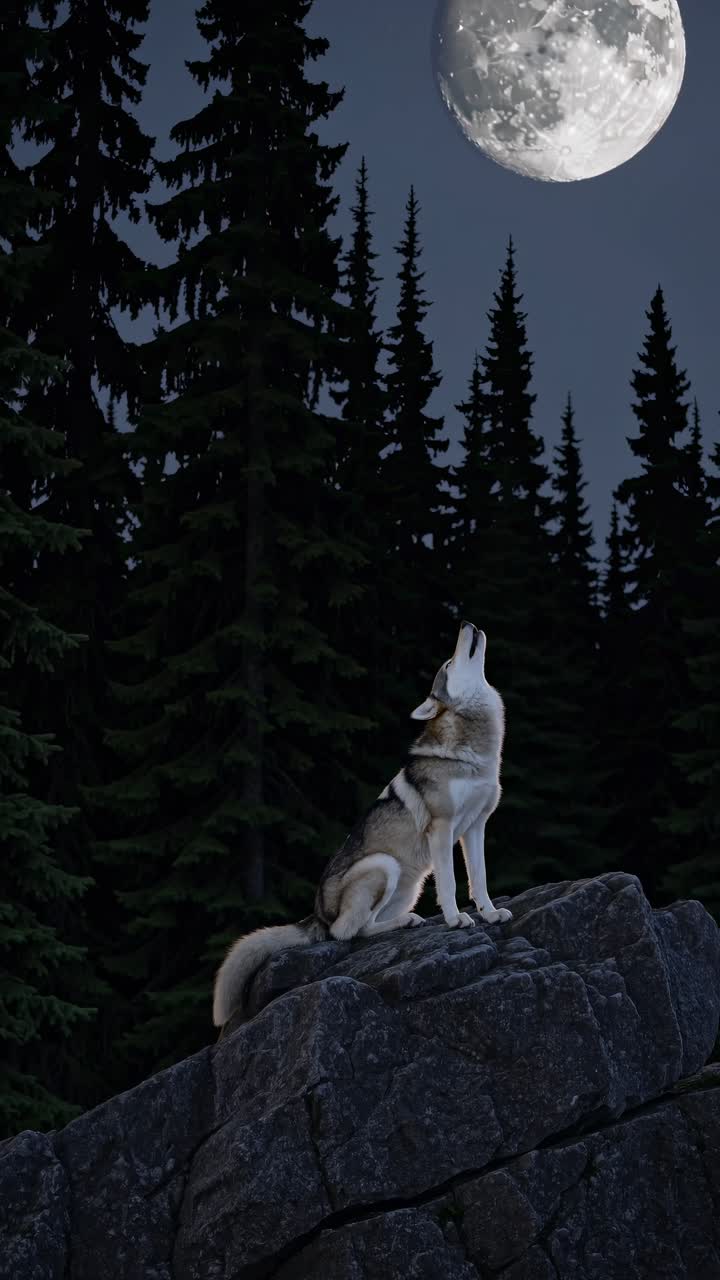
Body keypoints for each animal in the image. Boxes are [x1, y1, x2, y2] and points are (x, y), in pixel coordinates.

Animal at [213, 620, 512, 1028]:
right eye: (450, 663)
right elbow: (451, 885)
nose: (467, 624)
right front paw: (455, 920)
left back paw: (407, 922)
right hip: (384, 865)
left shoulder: (475, 827)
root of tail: (316, 914)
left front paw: (489, 913)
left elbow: (478, 880)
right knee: (348, 932)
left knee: (365, 927)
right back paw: (404, 923)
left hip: (409, 883)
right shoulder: (442, 829)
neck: (475, 749)